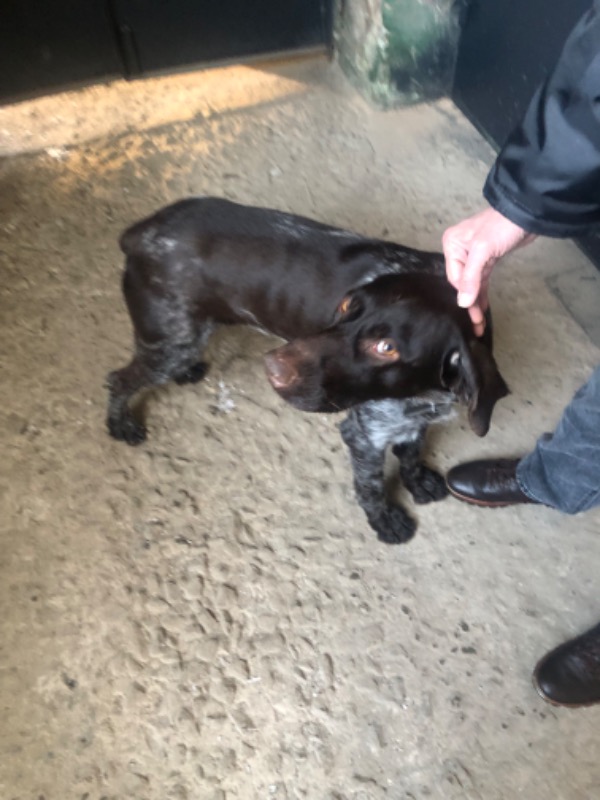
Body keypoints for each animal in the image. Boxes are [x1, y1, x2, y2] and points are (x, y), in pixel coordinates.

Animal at [106, 197, 508, 544]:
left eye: (386, 347)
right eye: (345, 306)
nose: (272, 368)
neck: (424, 395)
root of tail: (143, 231)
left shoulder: (412, 418)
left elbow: (411, 452)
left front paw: (417, 479)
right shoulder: (365, 434)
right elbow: (371, 486)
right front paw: (384, 520)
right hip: (170, 342)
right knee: (118, 379)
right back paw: (119, 423)